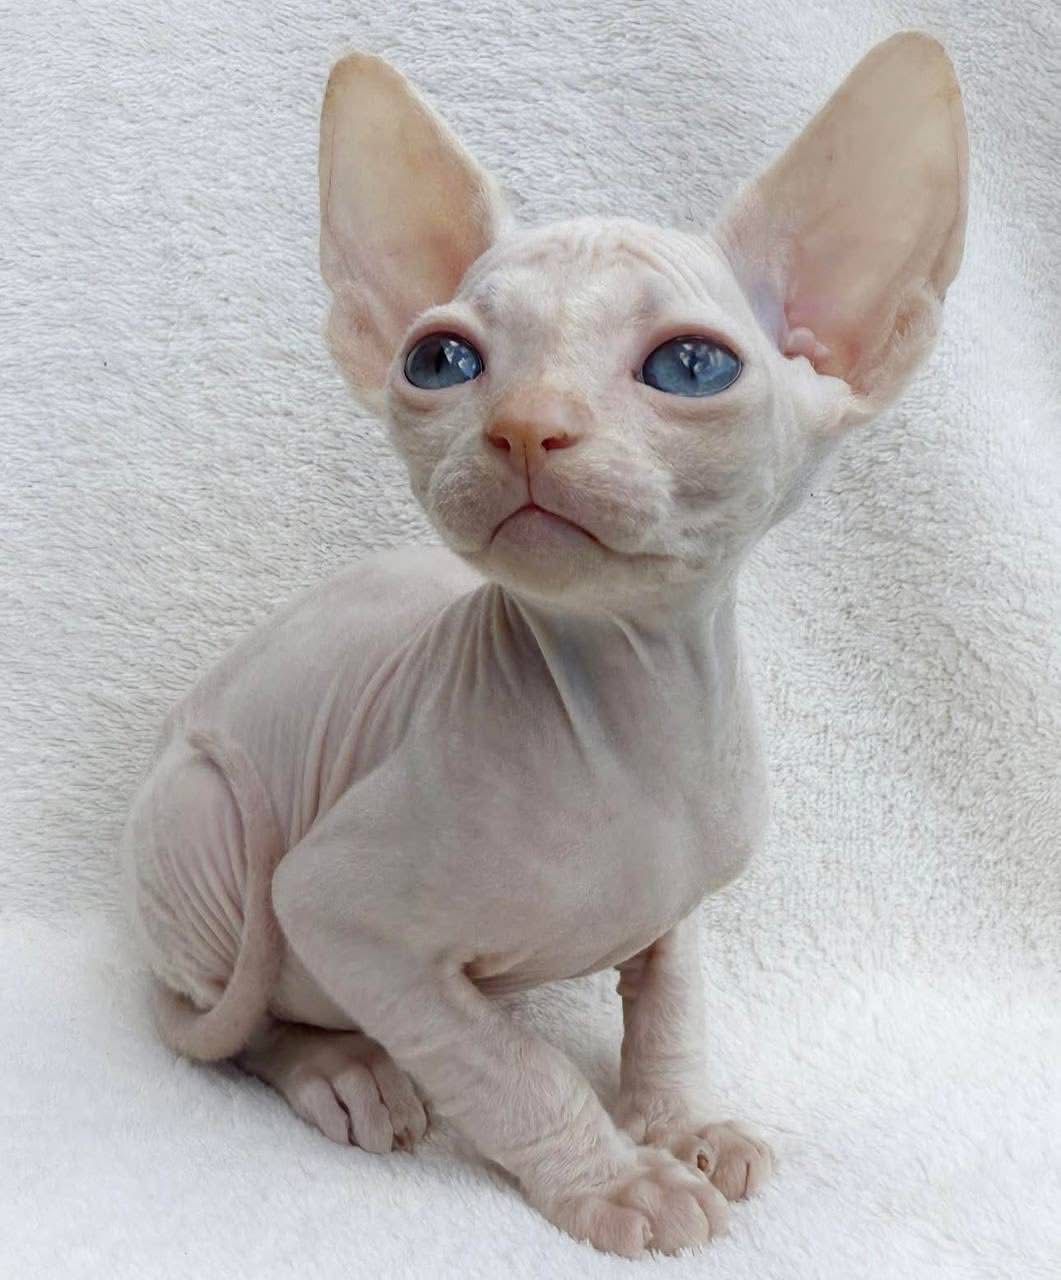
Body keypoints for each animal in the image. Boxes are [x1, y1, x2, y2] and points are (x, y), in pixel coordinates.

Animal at [121, 32, 967, 1256]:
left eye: (691, 368)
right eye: (439, 361)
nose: (523, 425)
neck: (632, 717)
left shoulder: (683, 901)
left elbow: (671, 1012)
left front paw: (682, 1124)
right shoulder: (338, 906)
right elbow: (507, 1067)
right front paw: (619, 1181)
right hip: (204, 816)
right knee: (247, 1015)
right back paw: (342, 1068)